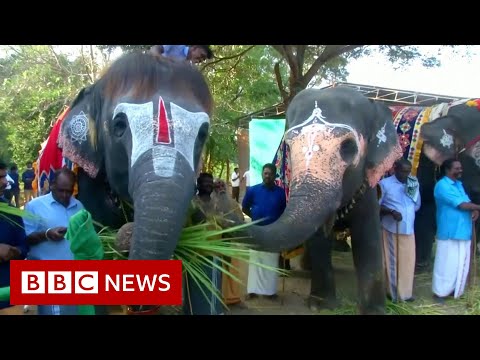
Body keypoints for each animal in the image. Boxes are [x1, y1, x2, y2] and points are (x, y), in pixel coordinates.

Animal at [244, 86, 404, 314]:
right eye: (288, 148)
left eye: (349, 147)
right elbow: (318, 237)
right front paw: (320, 305)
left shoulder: (367, 187)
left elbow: (368, 235)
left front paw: (375, 311)